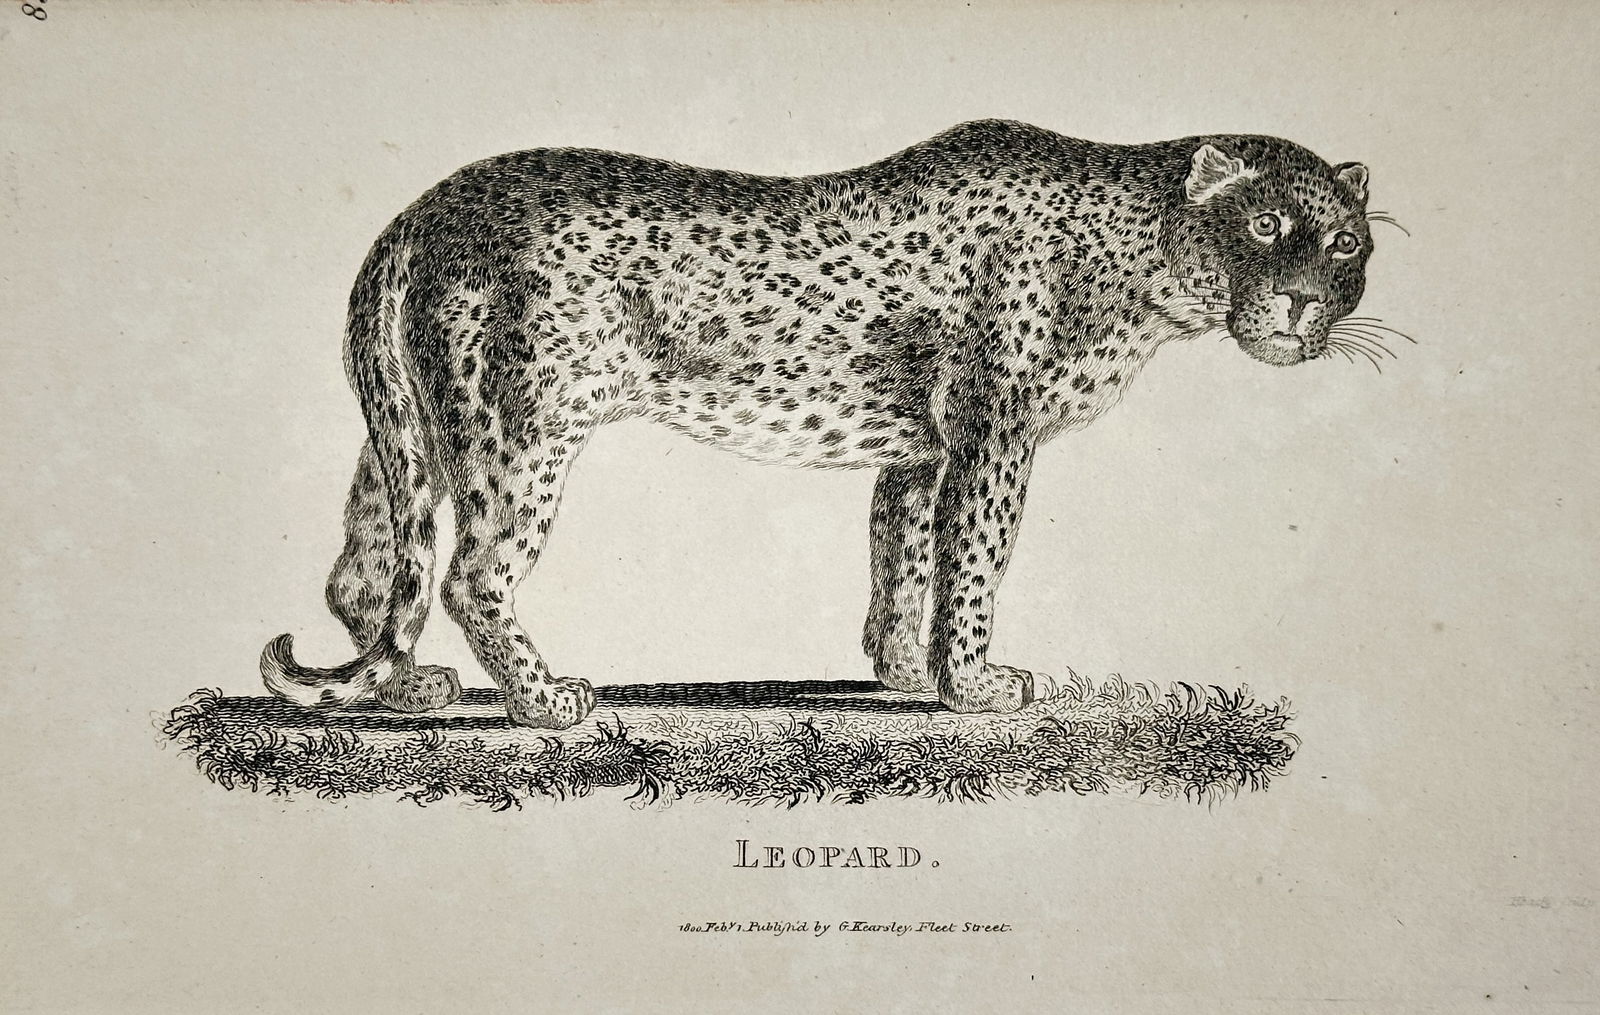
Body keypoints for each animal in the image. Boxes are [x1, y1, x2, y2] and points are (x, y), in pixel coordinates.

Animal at [261, 119, 1378, 729]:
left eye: (1346, 243)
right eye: (1267, 225)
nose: (1301, 307)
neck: (1141, 251)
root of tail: (419, 213)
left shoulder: (922, 451)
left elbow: (906, 560)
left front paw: (906, 673)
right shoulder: (994, 435)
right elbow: (975, 565)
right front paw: (974, 684)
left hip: (410, 435)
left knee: (367, 571)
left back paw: (411, 687)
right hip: (521, 432)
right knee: (467, 574)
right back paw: (546, 702)